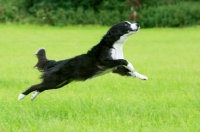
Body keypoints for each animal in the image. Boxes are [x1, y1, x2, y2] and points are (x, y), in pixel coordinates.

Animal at [18, 21, 148, 100]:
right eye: (126, 24)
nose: (137, 24)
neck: (115, 45)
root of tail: (57, 63)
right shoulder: (104, 62)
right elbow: (124, 60)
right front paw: (132, 66)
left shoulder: (115, 68)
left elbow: (128, 70)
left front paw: (142, 76)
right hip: (54, 80)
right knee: (36, 86)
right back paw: (21, 96)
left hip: (59, 83)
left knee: (40, 87)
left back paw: (33, 96)